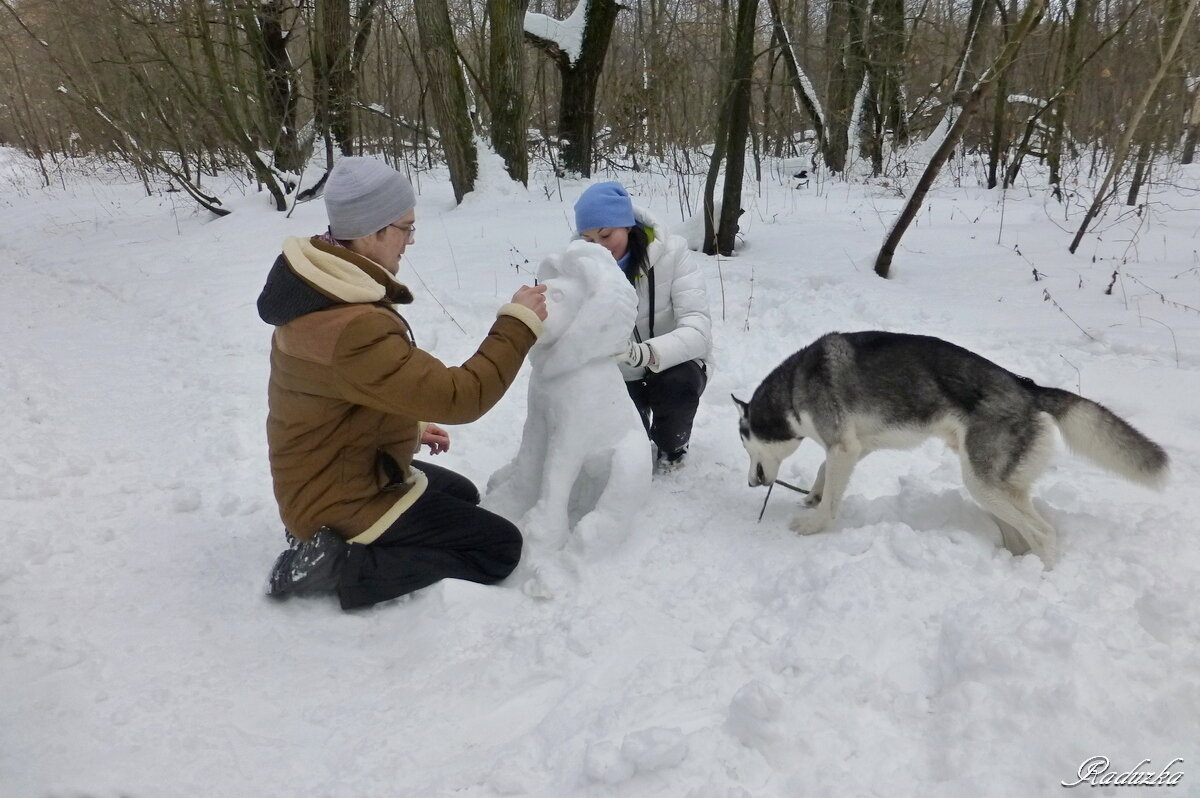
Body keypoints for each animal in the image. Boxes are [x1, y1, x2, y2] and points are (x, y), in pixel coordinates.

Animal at [734, 328, 1166, 559]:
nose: (751, 483)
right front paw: (814, 493)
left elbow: (832, 500)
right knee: (1022, 531)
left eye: (745, 445)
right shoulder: (856, 446)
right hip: (995, 487)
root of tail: (1028, 388)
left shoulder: (843, 446)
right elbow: (826, 469)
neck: (793, 391)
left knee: (1043, 533)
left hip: (981, 482)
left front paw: (813, 523)